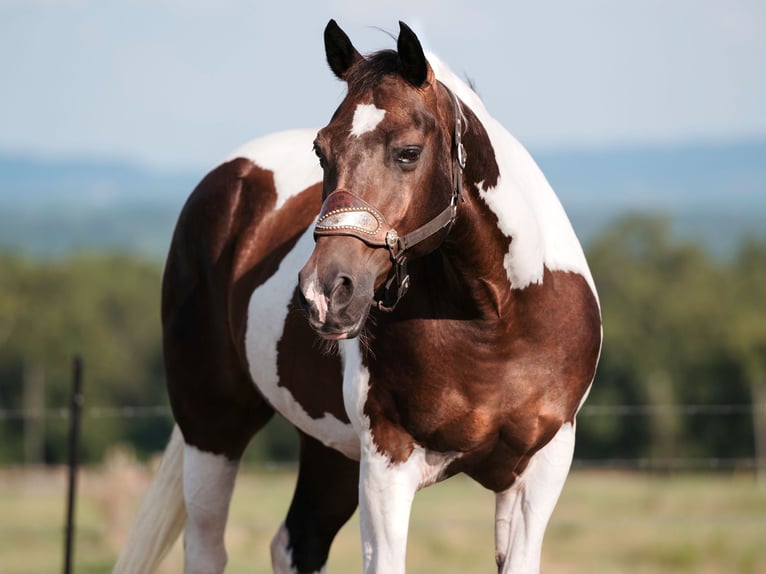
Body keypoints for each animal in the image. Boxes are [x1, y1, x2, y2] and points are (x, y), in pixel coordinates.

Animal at [117, 19, 604, 574]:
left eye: (409, 152)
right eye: (321, 151)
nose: (325, 293)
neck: (497, 320)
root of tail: (229, 179)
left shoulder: (540, 472)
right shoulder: (386, 462)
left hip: (326, 448)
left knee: (297, 541)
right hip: (212, 425)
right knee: (207, 546)